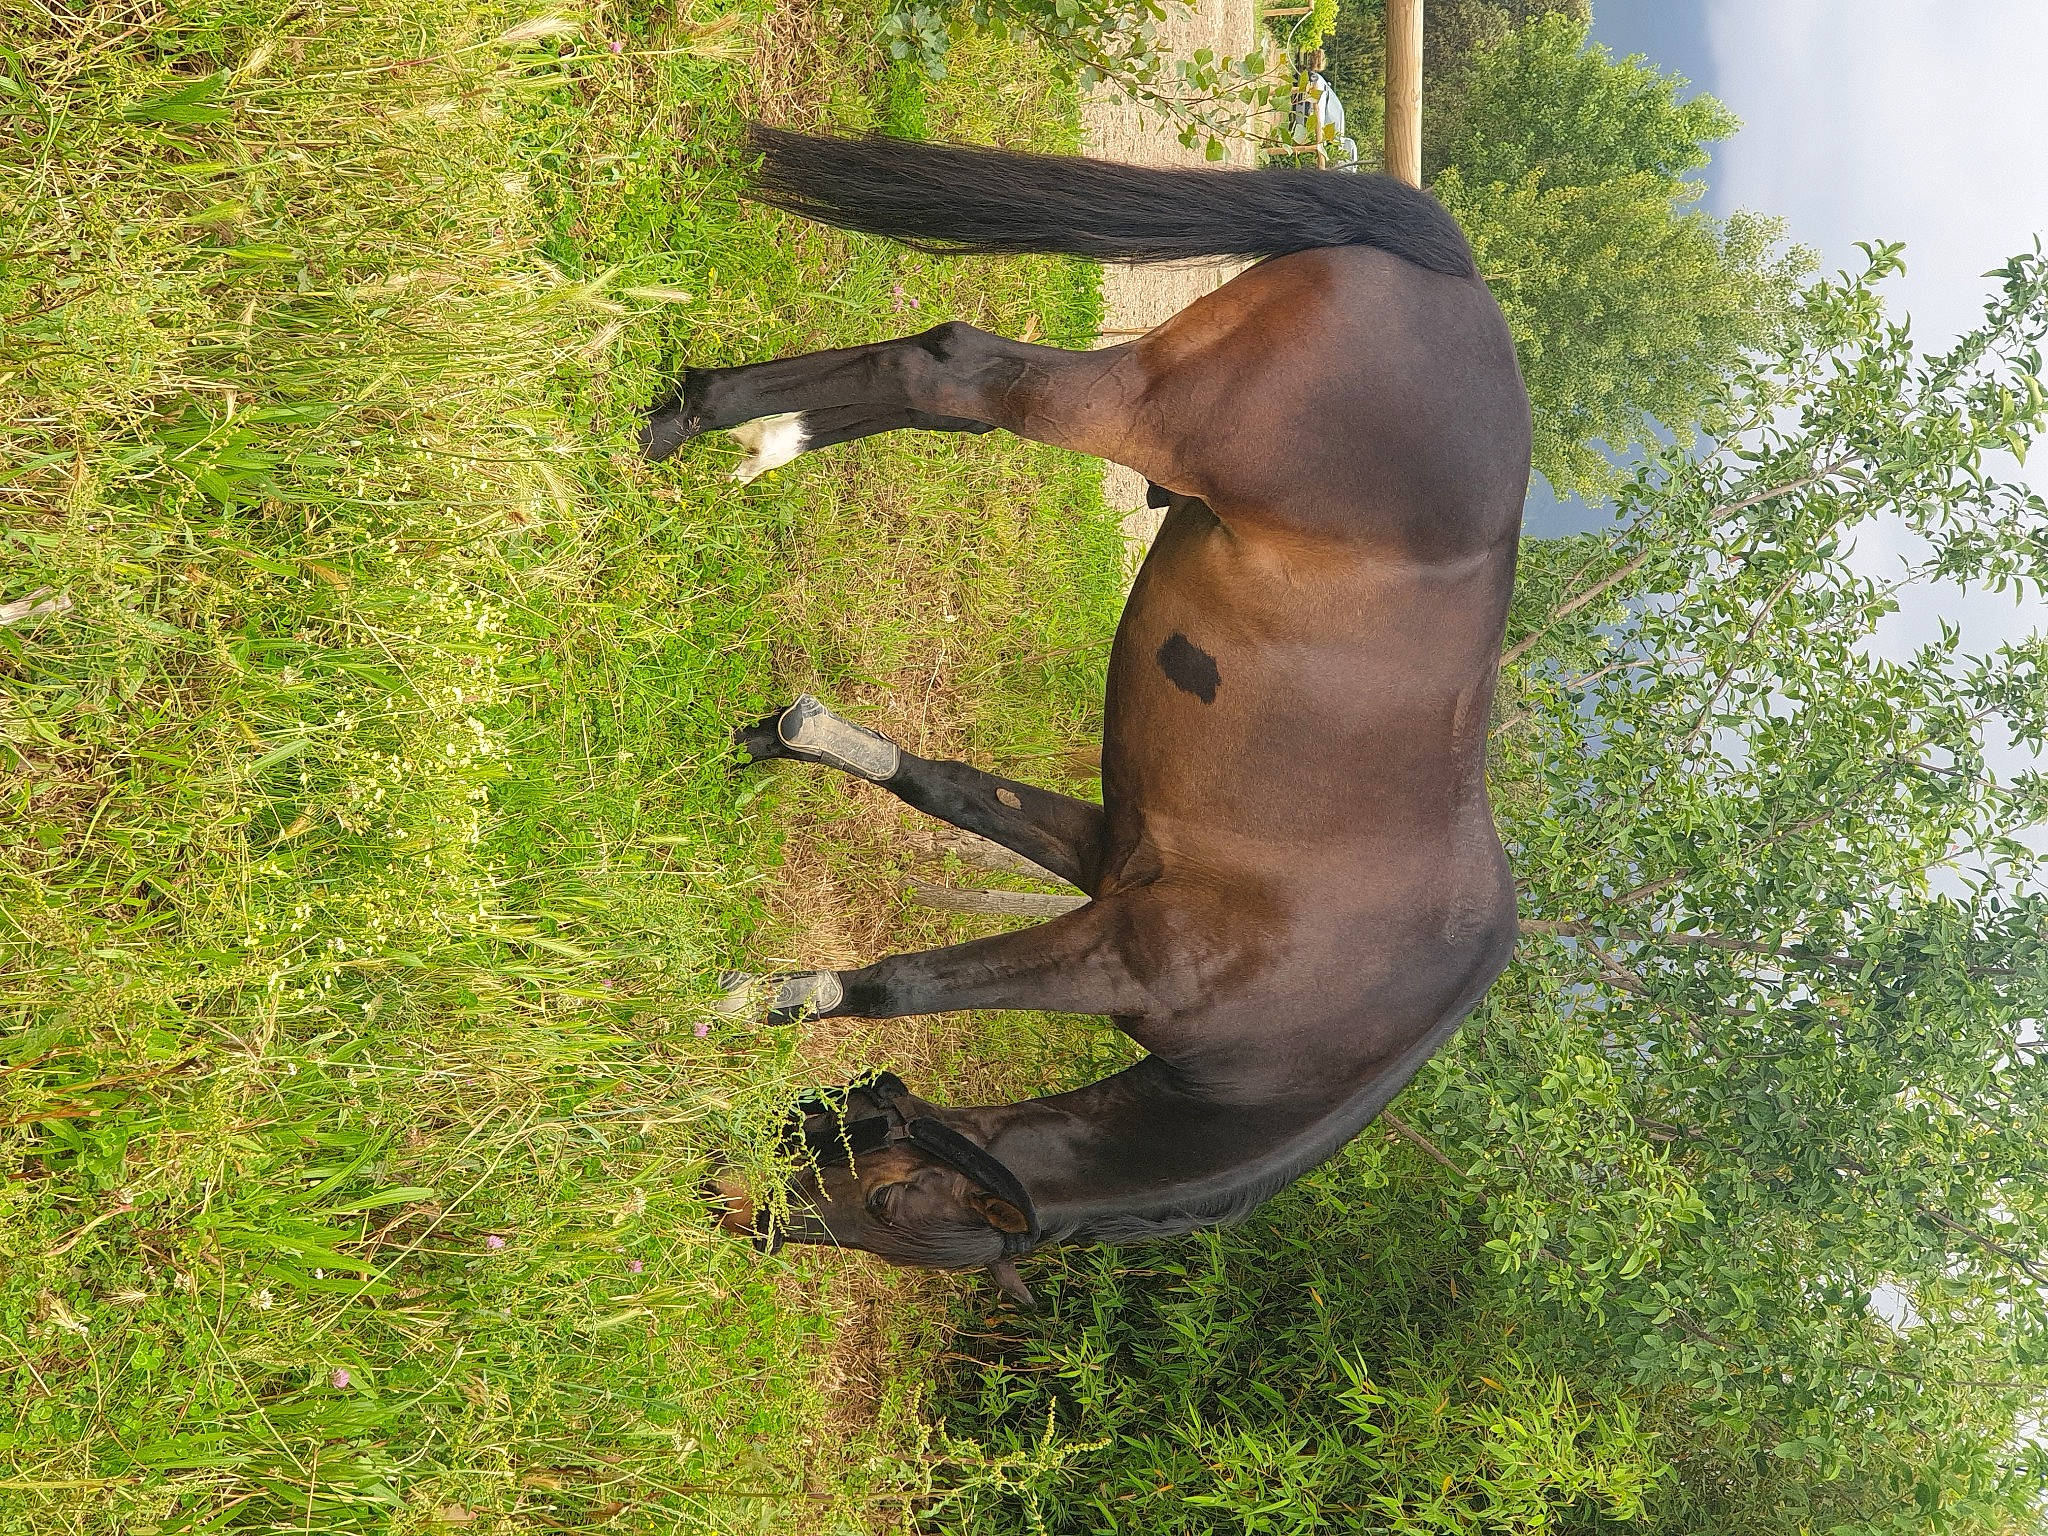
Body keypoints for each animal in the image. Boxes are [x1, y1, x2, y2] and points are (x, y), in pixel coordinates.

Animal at [646, 127, 1529, 1305]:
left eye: (884, 1214)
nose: (736, 1206)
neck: (1318, 1033)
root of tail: (1460, 279)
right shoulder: (1114, 949)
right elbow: (899, 984)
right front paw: (746, 996)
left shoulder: (1107, 856)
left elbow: (939, 792)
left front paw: (784, 740)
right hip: (1140, 408)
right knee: (952, 372)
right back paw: (694, 417)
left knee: (929, 379)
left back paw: (739, 428)